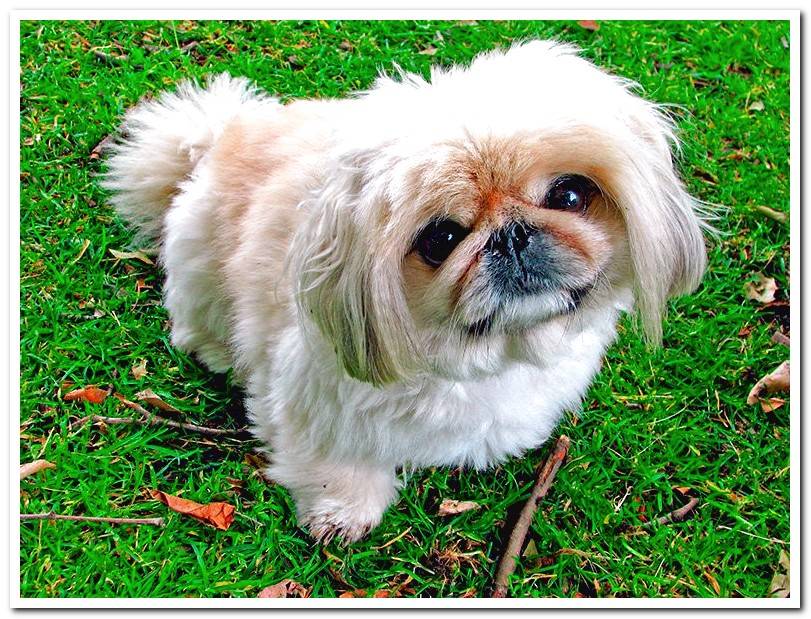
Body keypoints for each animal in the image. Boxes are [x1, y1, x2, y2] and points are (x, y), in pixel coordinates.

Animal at [104, 40, 708, 544]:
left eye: (571, 196)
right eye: (441, 239)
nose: (512, 235)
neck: (488, 359)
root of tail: (216, 139)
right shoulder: (313, 396)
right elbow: (335, 464)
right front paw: (342, 513)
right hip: (199, 263)